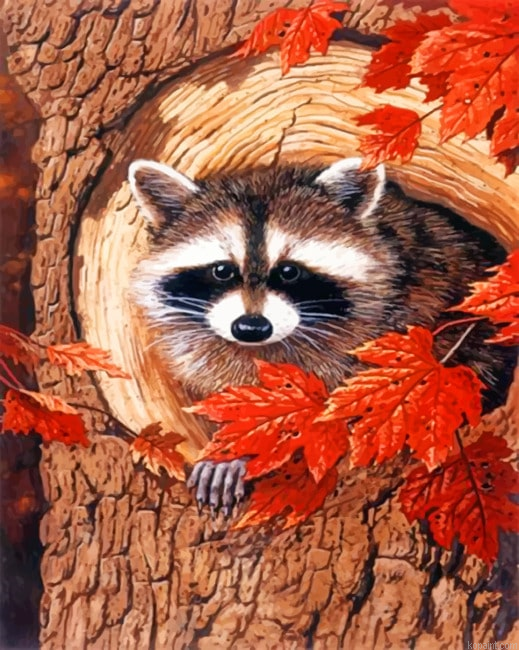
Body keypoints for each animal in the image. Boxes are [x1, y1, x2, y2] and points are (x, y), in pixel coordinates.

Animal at [128, 157, 516, 514]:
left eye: (289, 272)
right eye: (222, 270)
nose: (251, 327)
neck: (265, 350)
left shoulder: (410, 314)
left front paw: (241, 452)